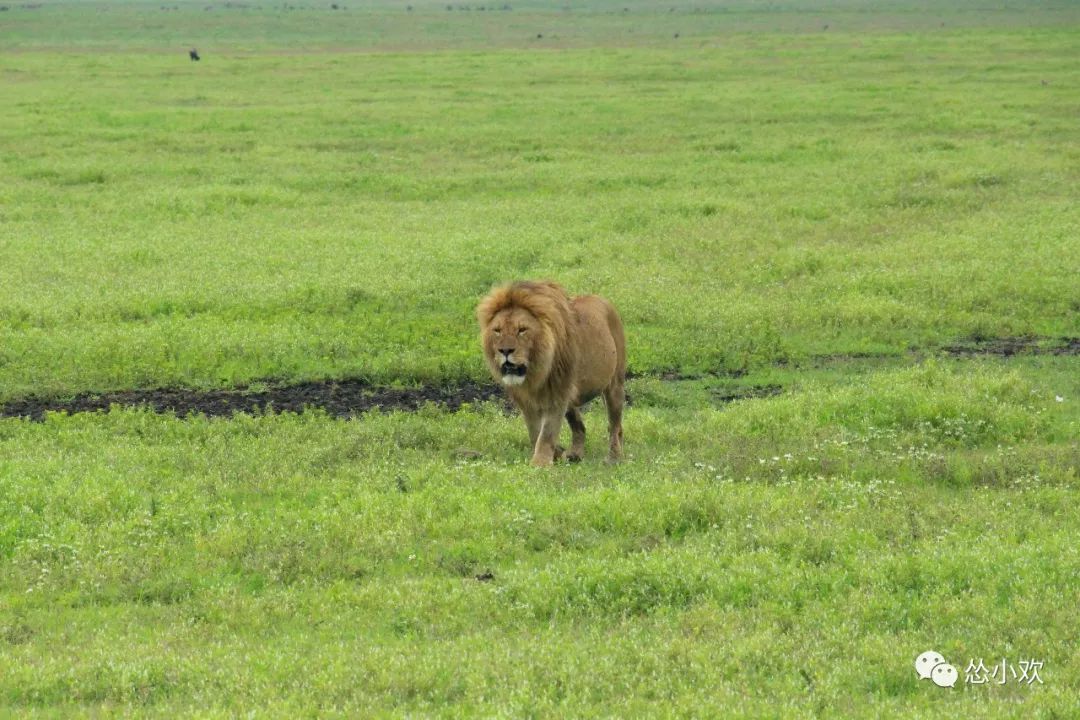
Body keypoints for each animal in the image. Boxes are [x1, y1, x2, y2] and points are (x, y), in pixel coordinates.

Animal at [479, 280, 630, 468]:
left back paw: (614, 457)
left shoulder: (557, 394)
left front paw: (540, 463)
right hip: (571, 398)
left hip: (614, 385)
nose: (505, 350)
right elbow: (535, 432)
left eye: (522, 330)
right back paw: (575, 454)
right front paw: (555, 454)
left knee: (615, 426)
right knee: (580, 426)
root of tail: (604, 301)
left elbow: (547, 433)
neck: (534, 373)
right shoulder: (525, 401)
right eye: (497, 330)